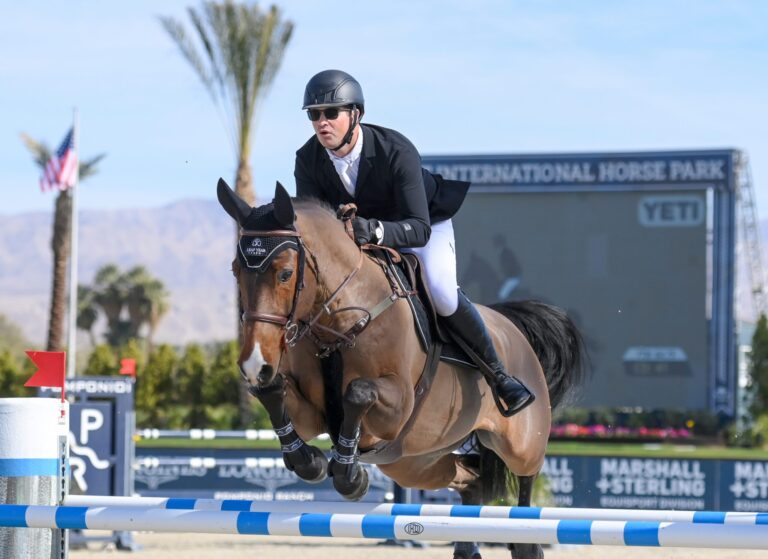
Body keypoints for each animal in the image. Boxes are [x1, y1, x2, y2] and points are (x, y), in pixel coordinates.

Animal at [219, 180, 584, 559]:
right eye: (235, 270)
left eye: (285, 273)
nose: (254, 363)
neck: (340, 319)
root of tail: (512, 327)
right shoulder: (311, 414)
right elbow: (273, 392)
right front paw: (312, 461)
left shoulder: (397, 408)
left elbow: (358, 393)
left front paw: (351, 476)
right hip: (414, 463)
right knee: (471, 479)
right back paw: (467, 546)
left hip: (521, 442)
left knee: (526, 482)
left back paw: (525, 538)